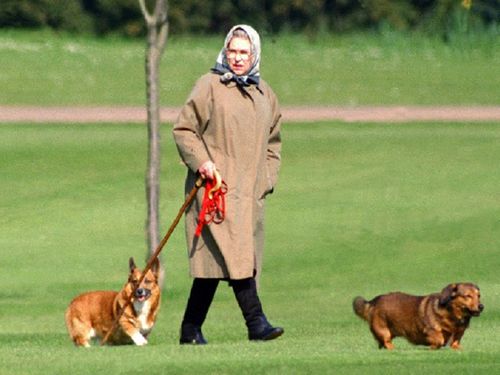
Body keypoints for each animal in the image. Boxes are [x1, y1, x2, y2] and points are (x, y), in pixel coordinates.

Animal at [354, 284, 482, 352]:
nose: (481, 306)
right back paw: (394, 349)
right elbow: (439, 339)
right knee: (386, 342)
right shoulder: (430, 330)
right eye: (468, 296)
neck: (453, 314)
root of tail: (374, 301)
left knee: (382, 344)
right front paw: (432, 347)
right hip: (384, 331)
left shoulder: (458, 333)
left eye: (479, 296)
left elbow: (455, 344)